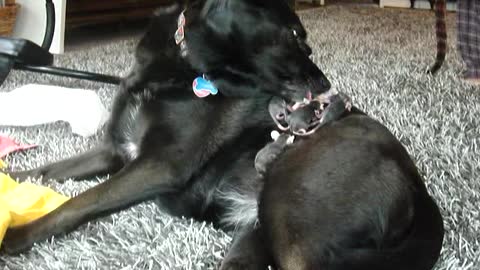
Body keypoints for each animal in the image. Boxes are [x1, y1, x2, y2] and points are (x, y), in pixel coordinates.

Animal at [0, 0, 444, 270]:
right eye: (295, 35)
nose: (326, 90)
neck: (185, 64)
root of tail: (419, 190)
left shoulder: (159, 164)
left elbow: (80, 202)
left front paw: (17, 234)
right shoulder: (114, 151)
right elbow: (45, 171)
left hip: (292, 222)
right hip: (256, 233)